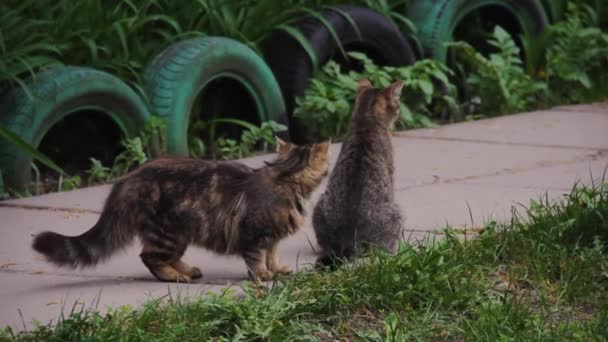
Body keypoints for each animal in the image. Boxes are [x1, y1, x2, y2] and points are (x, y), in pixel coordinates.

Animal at [32, 138, 332, 282]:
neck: (287, 178)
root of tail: (129, 177)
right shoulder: (255, 235)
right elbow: (257, 259)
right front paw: (262, 276)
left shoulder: (272, 238)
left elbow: (273, 254)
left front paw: (278, 269)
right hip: (167, 232)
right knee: (149, 257)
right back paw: (175, 277)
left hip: (182, 232)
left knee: (167, 257)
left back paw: (188, 270)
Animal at [314, 79, 404, 268]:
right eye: (398, 102)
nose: (399, 110)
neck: (366, 119)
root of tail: (348, 238)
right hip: (397, 213)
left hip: (320, 204)